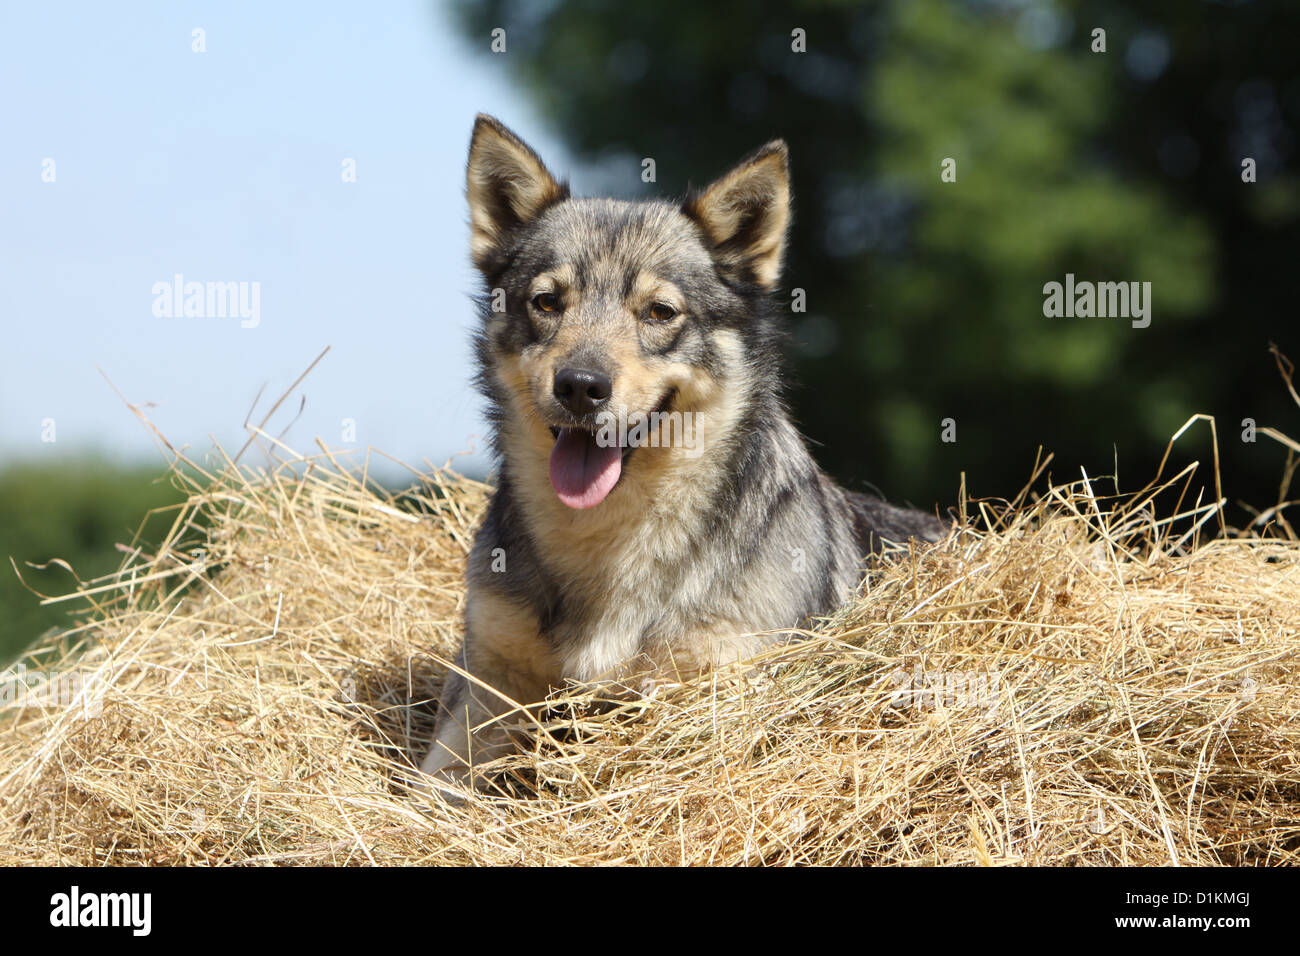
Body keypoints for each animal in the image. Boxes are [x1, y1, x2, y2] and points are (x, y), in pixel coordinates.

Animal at [421, 115, 951, 796]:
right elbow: (424, 789)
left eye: (659, 312)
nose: (581, 386)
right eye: (547, 302)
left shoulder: (712, 689)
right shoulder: (484, 686)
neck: (605, 542)